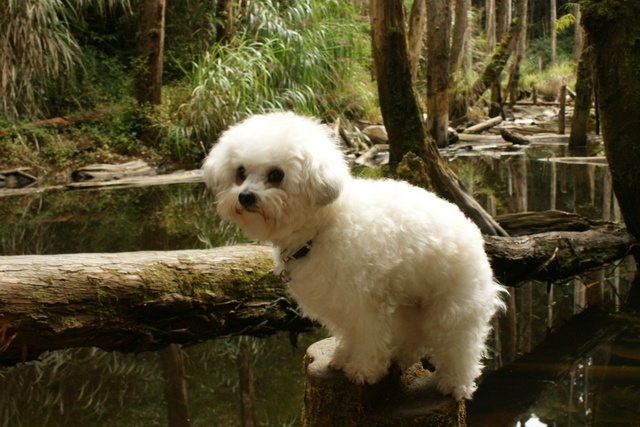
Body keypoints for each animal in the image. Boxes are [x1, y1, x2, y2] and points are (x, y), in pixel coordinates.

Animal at [204, 111, 504, 402]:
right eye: (241, 172)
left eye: (276, 175)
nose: (245, 197)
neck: (322, 226)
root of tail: (472, 229)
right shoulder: (341, 301)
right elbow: (350, 333)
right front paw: (342, 358)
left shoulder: (366, 301)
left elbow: (369, 337)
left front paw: (364, 370)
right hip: (408, 304)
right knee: (412, 336)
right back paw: (400, 355)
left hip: (453, 305)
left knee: (460, 345)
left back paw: (456, 384)